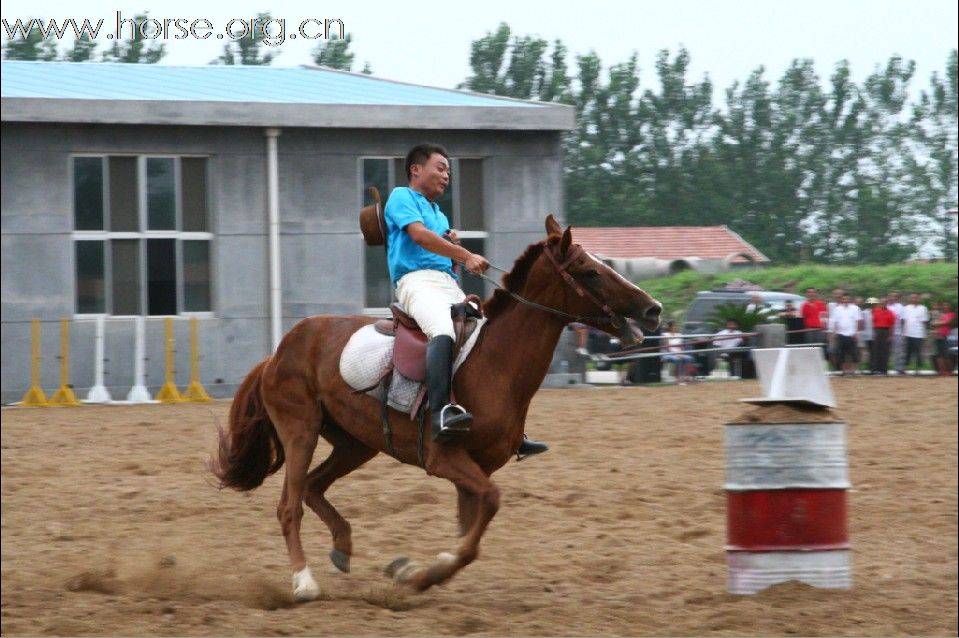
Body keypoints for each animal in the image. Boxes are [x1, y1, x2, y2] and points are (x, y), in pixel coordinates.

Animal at [209, 218, 660, 604]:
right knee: (290, 505)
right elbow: (489, 505)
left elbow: (469, 534)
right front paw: (425, 572)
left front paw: (416, 571)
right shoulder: (446, 459)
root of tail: (278, 351)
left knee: (314, 486)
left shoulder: (477, 468)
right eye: (589, 271)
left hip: (356, 443)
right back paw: (304, 582)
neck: (496, 364)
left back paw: (342, 548)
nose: (653, 309)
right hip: (300, 430)